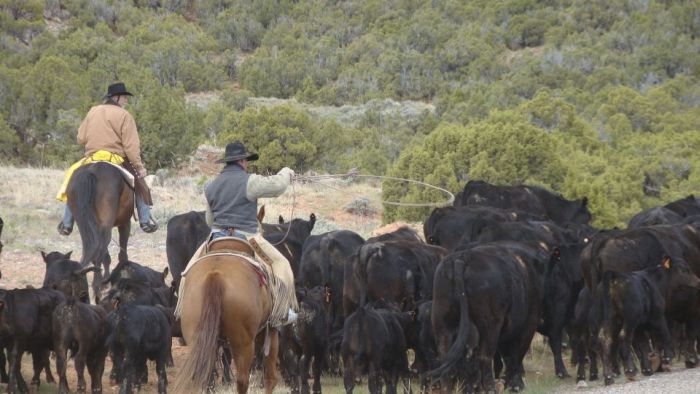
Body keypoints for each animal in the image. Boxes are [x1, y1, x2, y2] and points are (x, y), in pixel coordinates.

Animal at [66, 162, 134, 300]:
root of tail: (91, 171)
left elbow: (106, 257)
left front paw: (106, 281)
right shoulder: (125, 223)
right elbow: (122, 253)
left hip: (85, 225)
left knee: (93, 250)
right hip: (105, 227)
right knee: (99, 250)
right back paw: (96, 287)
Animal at [174, 251, 278, 392]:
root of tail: (214, 275)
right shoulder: (269, 327)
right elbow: (270, 375)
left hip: (196, 340)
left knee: (205, 378)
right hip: (243, 343)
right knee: (242, 380)